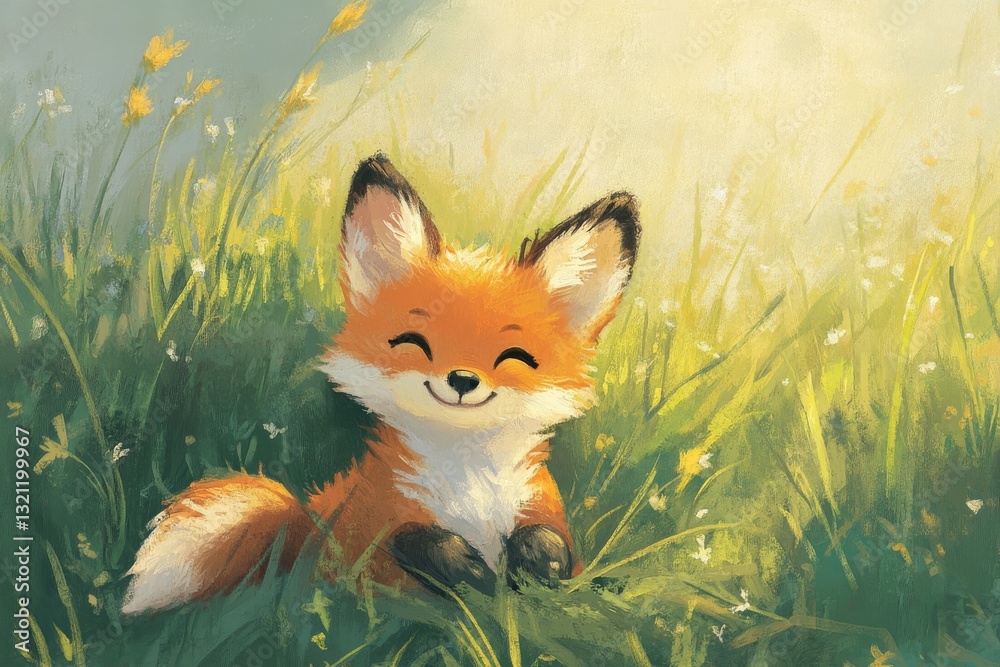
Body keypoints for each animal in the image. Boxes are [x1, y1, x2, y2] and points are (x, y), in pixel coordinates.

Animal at [122, 154, 640, 615]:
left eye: (515, 357)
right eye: (414, 343)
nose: (462, 379)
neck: (468, 483)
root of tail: (308, 520)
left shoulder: (538, 507)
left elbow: (550, 543)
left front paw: (532, 568)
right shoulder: (379, 526)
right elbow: (413, 545)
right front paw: (470, 575)